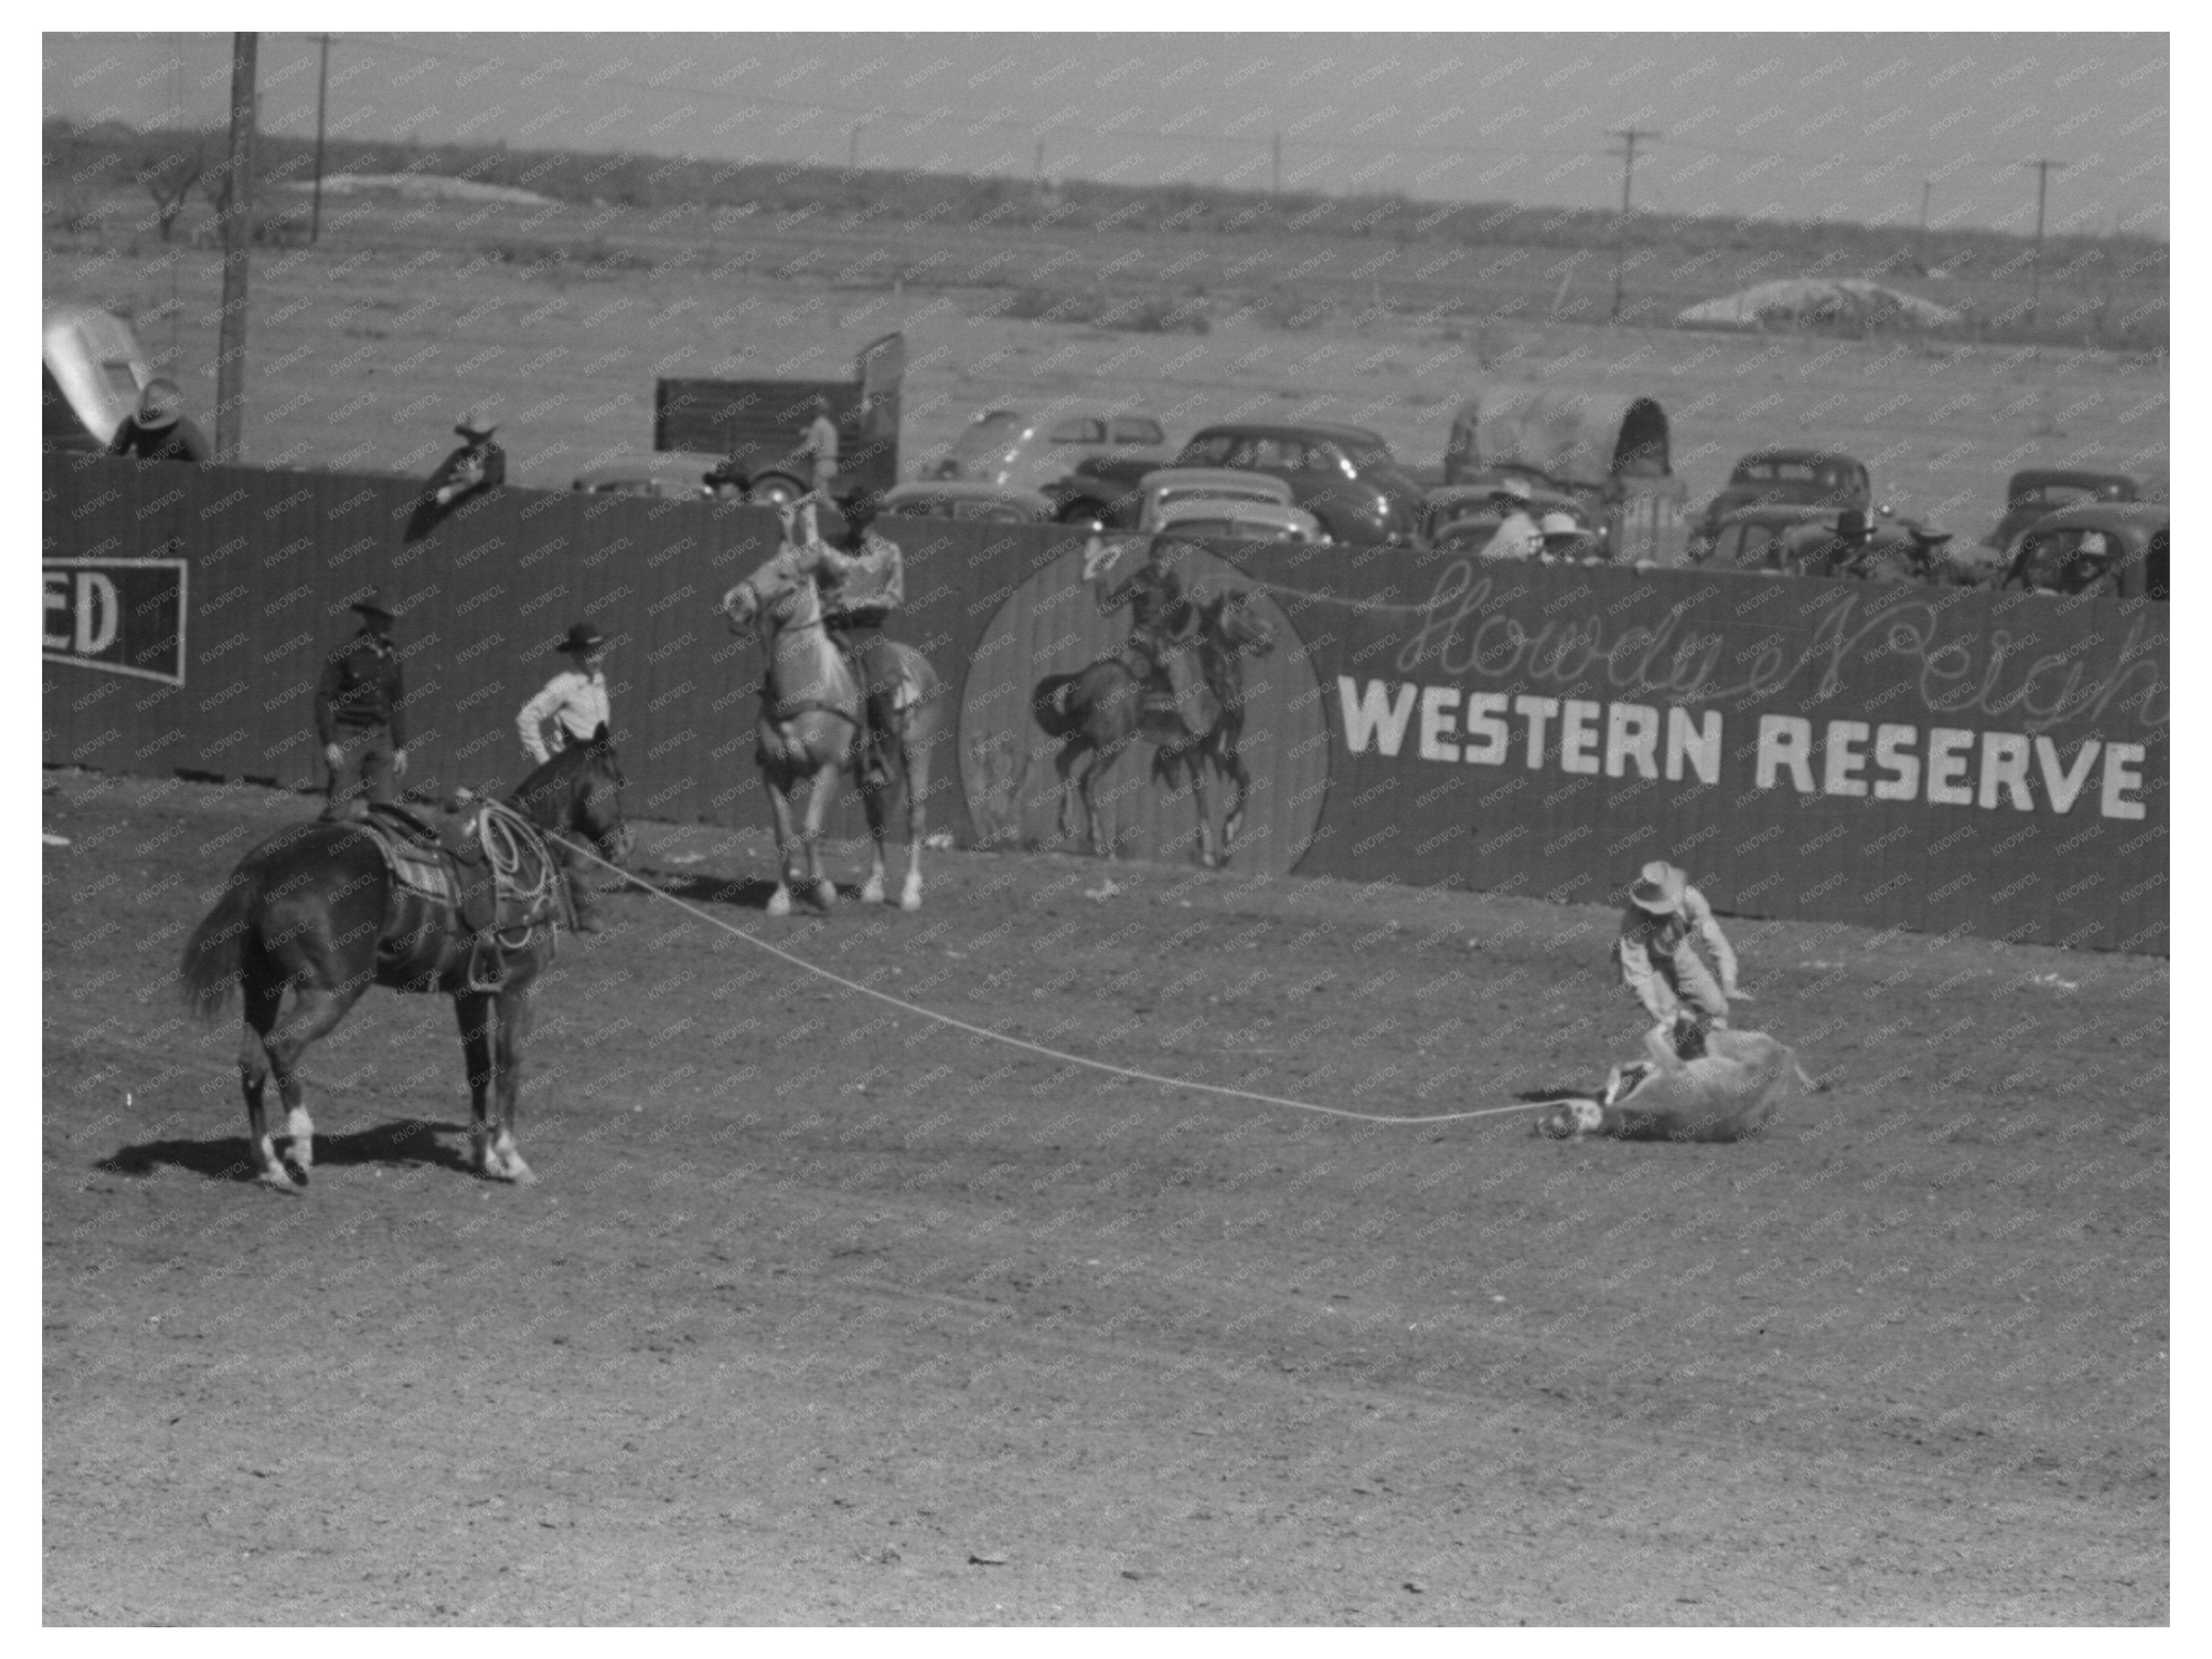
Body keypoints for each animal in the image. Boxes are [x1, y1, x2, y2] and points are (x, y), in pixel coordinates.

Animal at [178, 734, 632, 1185]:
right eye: (620, 781)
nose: (626, 845)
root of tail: (266, 864)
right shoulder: (516, 988)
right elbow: (509, 1064)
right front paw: (510, 1157)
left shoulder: (469, 992)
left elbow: (479, 1067)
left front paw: (483, 1155)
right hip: (331, 990)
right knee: (283, 1045)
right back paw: (301, 1146)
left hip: (262, 985)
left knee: (252, 1061)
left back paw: (271, 1164)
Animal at [716, 546, 942, 915]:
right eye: (761, 566)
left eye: (783, 576)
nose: (733, 601)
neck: (807, 685)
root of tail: (917, 662)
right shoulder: (774, 772)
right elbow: (784, 833)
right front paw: (781, 899)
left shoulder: (828, 770)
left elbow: (810, 829)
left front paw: (822, 893)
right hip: (871, 772)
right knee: (877, 819)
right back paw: (873, 888)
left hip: (918, 751)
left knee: (916, 817)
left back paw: (911, 893)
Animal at [1035, 588, 1283, 871]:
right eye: (1244, 612)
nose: (1273, 633)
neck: (1212, 681)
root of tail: (1080, 680)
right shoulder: (1196, 749)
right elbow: (1202, 793)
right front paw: (1209, 853)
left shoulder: (1218, 749)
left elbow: (1245, 780)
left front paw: (1229, 835)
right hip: (1112, 745)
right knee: (1087, 780)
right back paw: (1101, 844)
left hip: (1084, 739)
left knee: (1063, 763)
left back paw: (1067, 821)